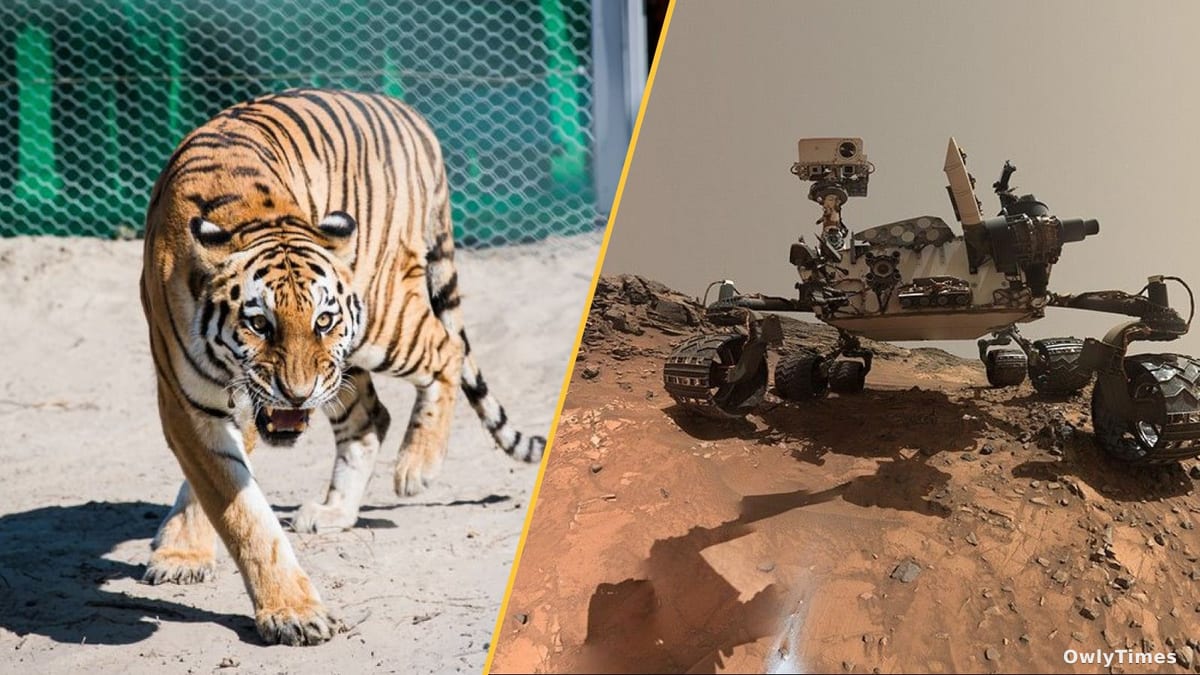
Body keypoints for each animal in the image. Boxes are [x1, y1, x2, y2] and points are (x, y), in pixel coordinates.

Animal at [139, 88, 546, 646]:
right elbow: (233, 503)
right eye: (259, 324)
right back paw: (334, 511)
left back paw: (417, 466)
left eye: (323, 319)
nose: (297, 393)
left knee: (446, 348)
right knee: (371, 416)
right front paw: (188, 555)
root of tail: (409, 114)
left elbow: (237, 508)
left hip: (380, 321)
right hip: (345, 363)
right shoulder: (188, 401)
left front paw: (291, 613)